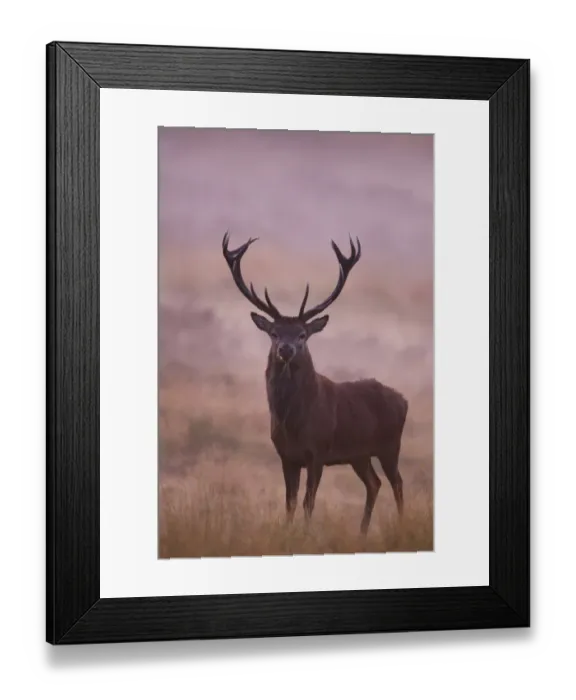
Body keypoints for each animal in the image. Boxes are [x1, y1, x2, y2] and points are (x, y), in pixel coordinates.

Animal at [222, 231, 408, 535]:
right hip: (360, 454)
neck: (293, 423)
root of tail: (404, 401)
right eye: (274, 333)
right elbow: (290, 501)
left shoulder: (318, 451)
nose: (286, 349)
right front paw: (288, 532)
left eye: (302, 334)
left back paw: (399, 525)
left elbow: (309, 501)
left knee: (397, 482)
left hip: (390, 444)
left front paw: (306, 534)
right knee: (374, 483)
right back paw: (362, 532)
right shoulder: (286, 456)